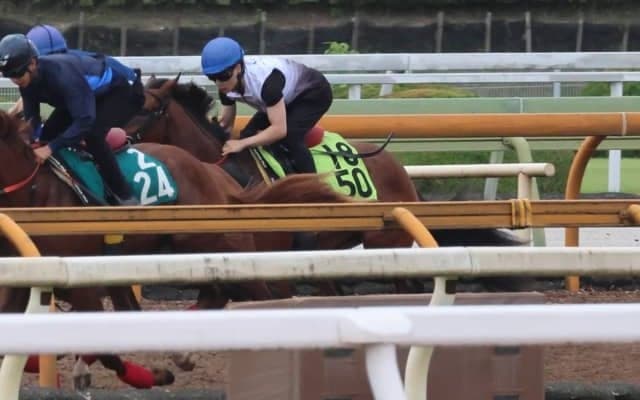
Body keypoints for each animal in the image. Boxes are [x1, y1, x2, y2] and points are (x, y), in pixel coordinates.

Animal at [0, 109, 351, 389]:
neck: (35, 193)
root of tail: (219, 178)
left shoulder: (78, 277)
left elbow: (107, 348)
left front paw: (149, 376)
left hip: (214, 243)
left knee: (256, 292)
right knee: (219, 291)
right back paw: (184, 352)